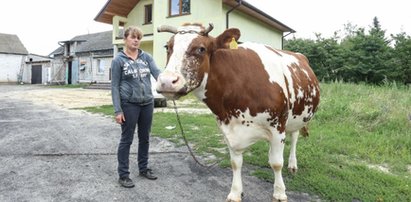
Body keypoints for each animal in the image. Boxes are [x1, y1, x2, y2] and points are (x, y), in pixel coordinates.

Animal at [156, 22, 320, 201]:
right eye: (167, 47)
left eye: (201, 49)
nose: (166, 81)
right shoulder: (228, 128)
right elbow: (236, 163)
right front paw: (235, 193)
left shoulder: (278, 127)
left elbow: (277, 163)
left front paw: (279, 193)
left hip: (297, 116)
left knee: (294, 137)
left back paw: (292, 164)